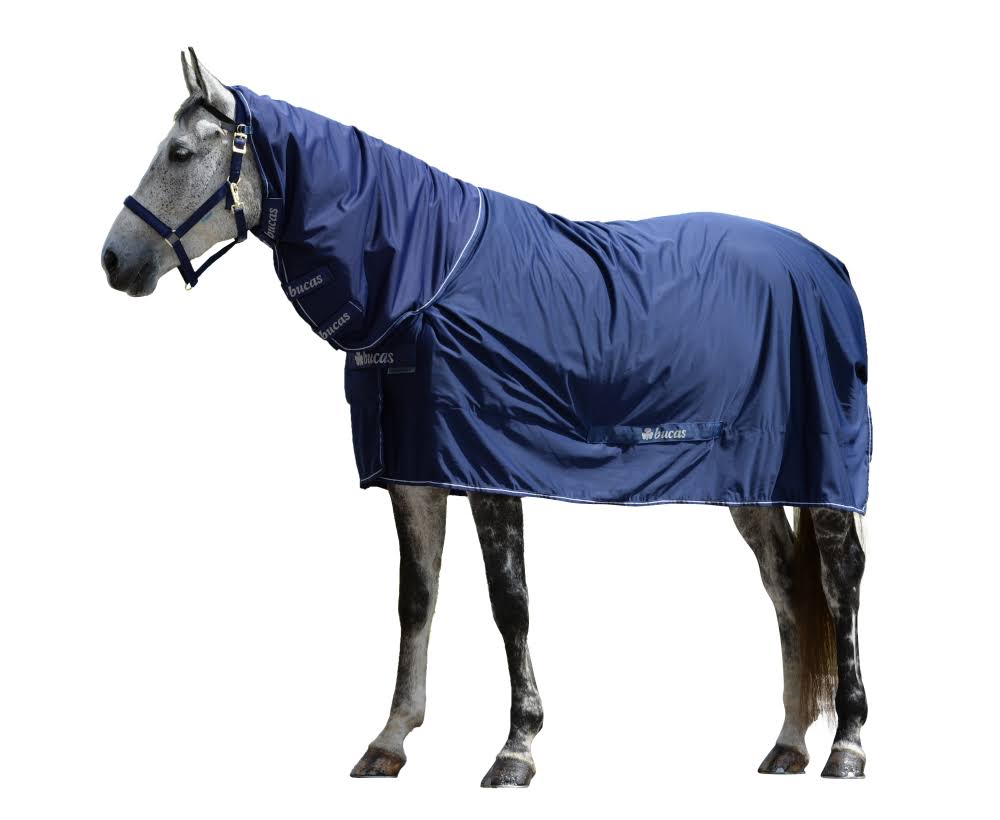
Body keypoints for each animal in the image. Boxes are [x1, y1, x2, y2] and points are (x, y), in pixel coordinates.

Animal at [101, 49, 870, 786]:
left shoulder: (490, 465)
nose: (113, 260)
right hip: (754, 479)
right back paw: (788, 744)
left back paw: (847, 746)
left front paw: (516, 748)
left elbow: (510, 602)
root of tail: (827, 266)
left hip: (825, 474)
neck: (425, 280)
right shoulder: (414, 470)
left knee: (840, 581)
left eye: (179, 153)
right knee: (786, 585)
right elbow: (416, 598)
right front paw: (389, 741)